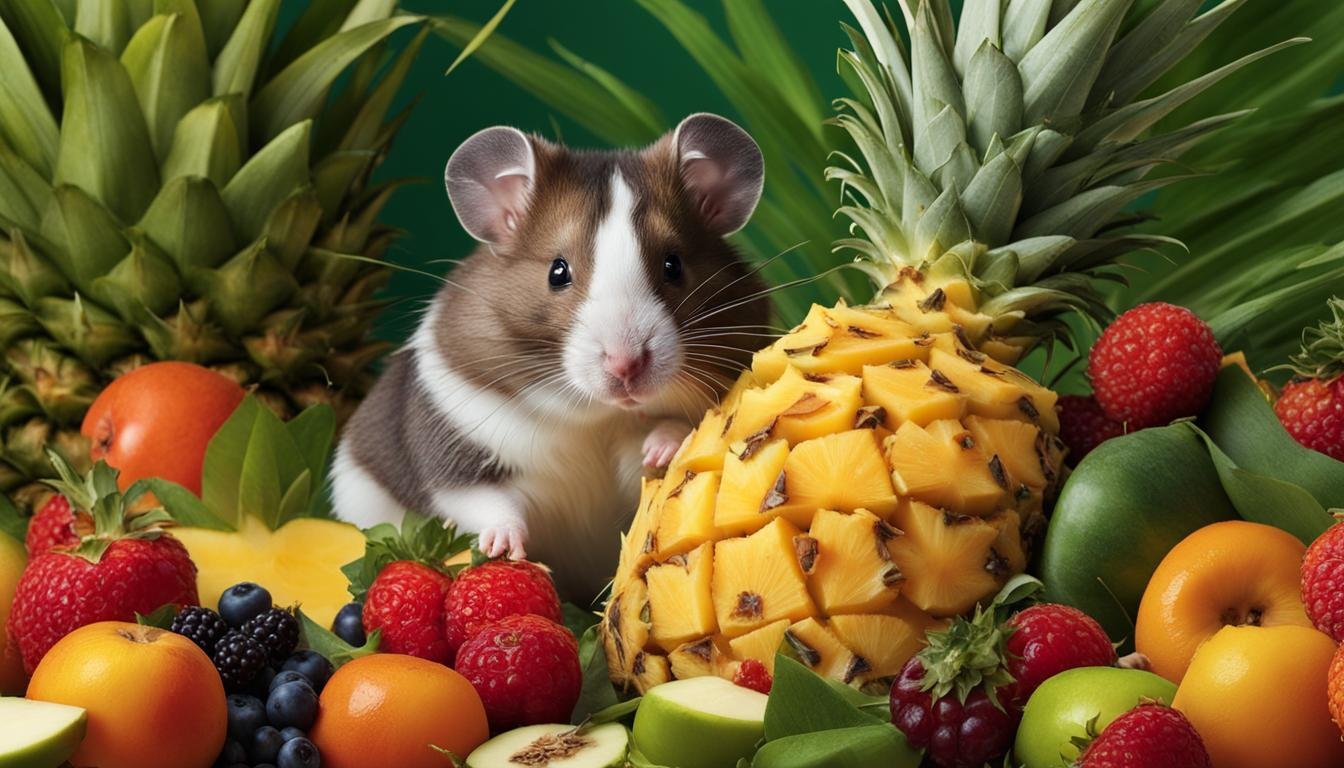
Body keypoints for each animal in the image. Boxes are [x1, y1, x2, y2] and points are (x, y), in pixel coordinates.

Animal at [332, 113, 770, 600]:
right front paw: (504, 549)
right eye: (557, 271)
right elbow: (484, 501)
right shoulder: (457, 454)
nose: (626, 368)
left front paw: (660, 444)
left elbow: (679, 434)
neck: (599, 415)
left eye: (673, 265)